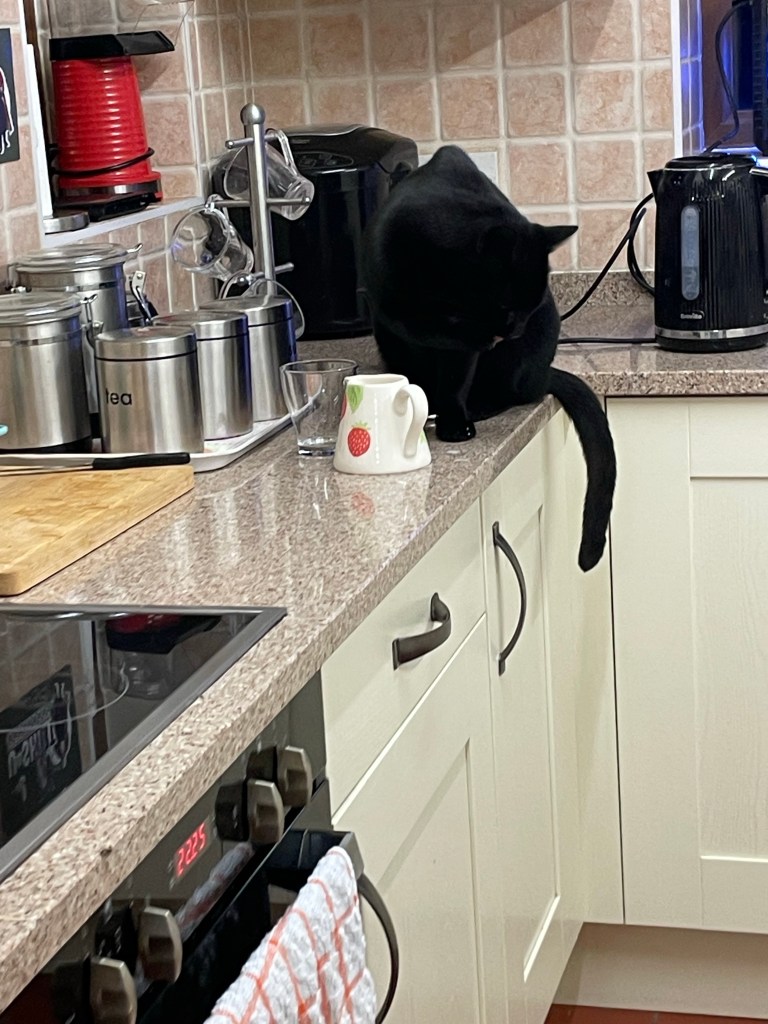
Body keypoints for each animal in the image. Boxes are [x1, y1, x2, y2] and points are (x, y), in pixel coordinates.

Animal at [361, 144, 616, 572]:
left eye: (527, 307)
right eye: (506, 304)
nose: (512, 330)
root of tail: (546, 372)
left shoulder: (462, 354)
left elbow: (455, 382)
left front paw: (455, 422)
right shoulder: (391, 307)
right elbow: (424, 330)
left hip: (531, 351)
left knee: (516, 393)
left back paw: (479, 407)